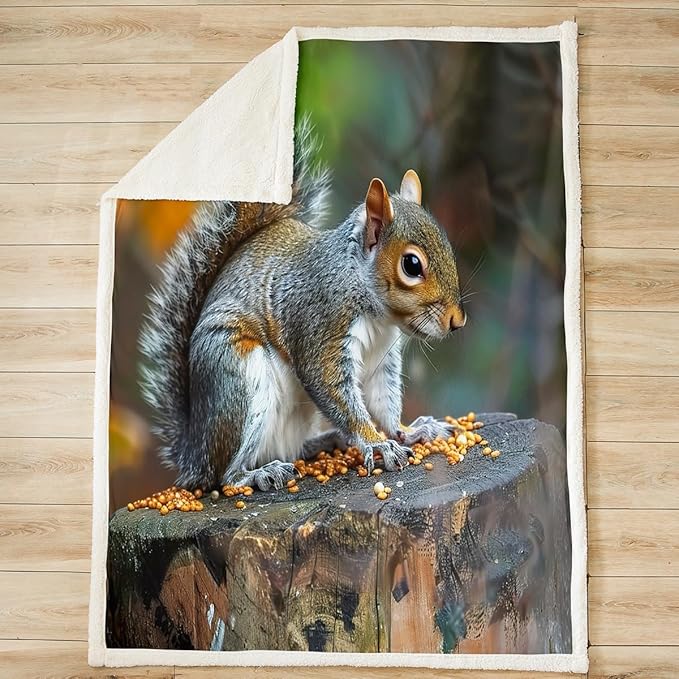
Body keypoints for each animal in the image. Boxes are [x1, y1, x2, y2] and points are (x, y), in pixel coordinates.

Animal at [139, 120, 467, 491]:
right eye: (412, 265)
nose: (457, 321)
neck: (379, 315)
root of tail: (195, 455)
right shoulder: (321, 323)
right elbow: (331, 387)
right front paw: (376, 442)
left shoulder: (381, 360)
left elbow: (384, 400)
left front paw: (410, 431)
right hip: (237, 376)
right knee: (226, 478)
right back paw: (259, 473)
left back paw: (325, 442)